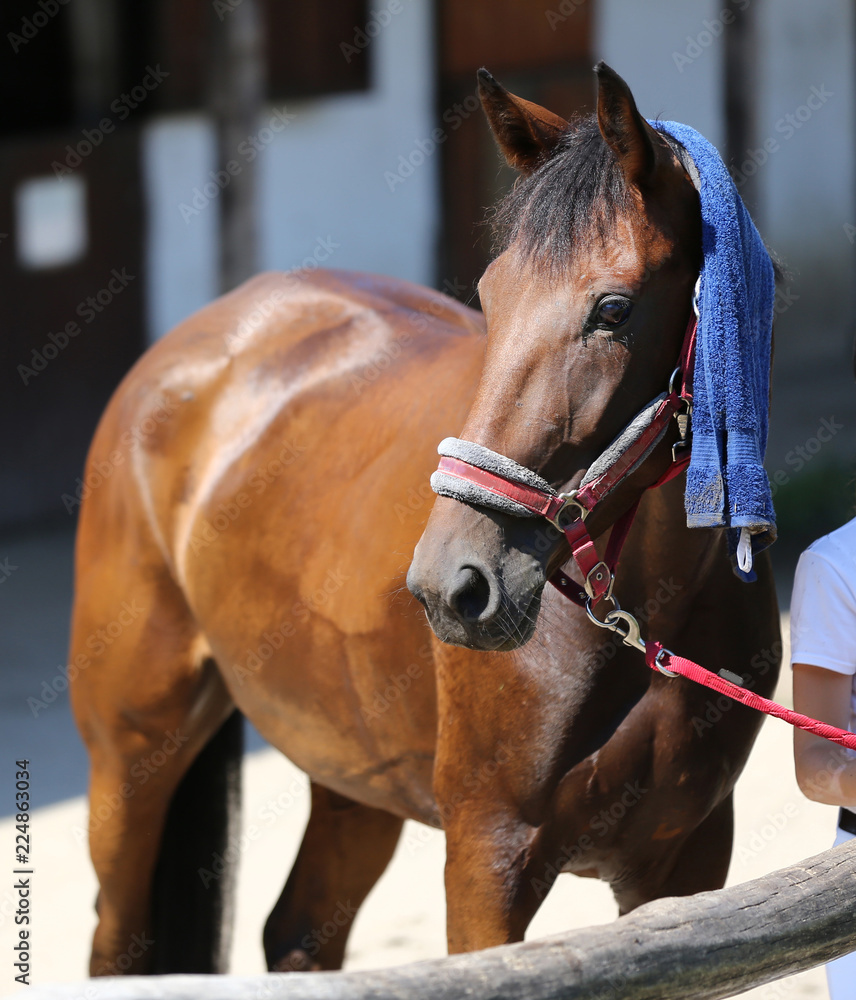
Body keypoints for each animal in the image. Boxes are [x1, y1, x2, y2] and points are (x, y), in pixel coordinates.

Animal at [69, 62, 780, 976]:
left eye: (615, 309)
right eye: (489, 295)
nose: (453, 583)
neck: (640, 619)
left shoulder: (686, 862)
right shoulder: (487, 857)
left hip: (351, 771)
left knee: (297, 935)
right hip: (130, 761)